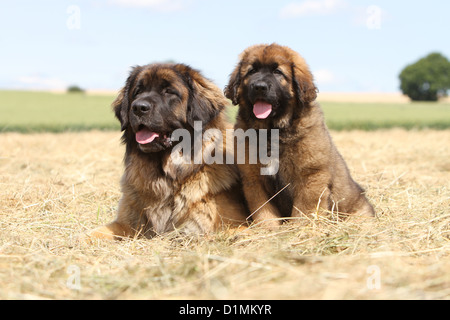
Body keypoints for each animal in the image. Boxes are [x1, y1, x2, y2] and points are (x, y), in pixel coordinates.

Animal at [85, 63, 248, 240]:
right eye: (137, 92)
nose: (138, 107)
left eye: (169, 91)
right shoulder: (126, 223)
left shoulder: (231, 226)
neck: (165, 177)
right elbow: (91, 234)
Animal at [225, 43, 376, 228]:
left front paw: (298, 228)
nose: (259, 86)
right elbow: (263, 209)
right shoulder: (253, 179)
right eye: (252, 71)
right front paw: (269, 228)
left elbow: (304, 209)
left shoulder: (310, 175)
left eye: (278, 72)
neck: (272, 132)